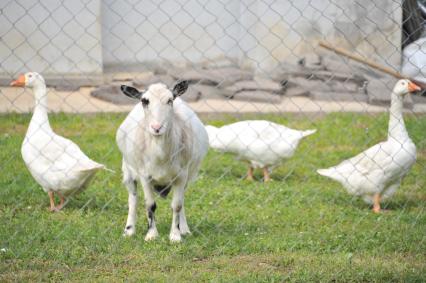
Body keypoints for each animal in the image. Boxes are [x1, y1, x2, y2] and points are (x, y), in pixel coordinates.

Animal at [116, 81, 210, 243]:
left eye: (170, 100)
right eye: (144, 101)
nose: (157, 128)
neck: (160, 155)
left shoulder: (181, 175)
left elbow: (177, 205)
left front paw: (176, 236)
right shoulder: (145, 176)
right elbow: (150, 205)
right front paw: (151, 235)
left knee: (182, 201)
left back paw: (184, 229)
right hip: (128, 170)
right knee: (133, 200)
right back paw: (129, 230)